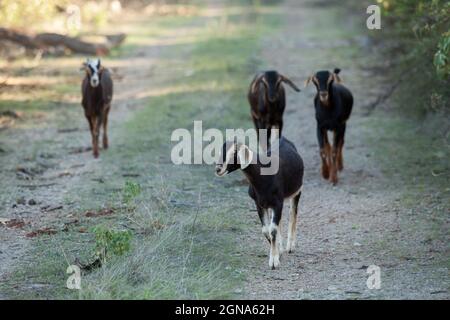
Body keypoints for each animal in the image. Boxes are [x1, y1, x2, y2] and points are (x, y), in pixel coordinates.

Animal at [215, 136, 306, 268]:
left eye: (235, 153)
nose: (218, 169)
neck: (263, 177)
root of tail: (283, 139)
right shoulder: (259, 204)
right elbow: (266, 230)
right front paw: (278, 252)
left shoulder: (277, 203)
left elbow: (273, 229)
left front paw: (274, 262)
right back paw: (282, 246)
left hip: (297, 191)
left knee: (293, 214)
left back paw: (290, 246)